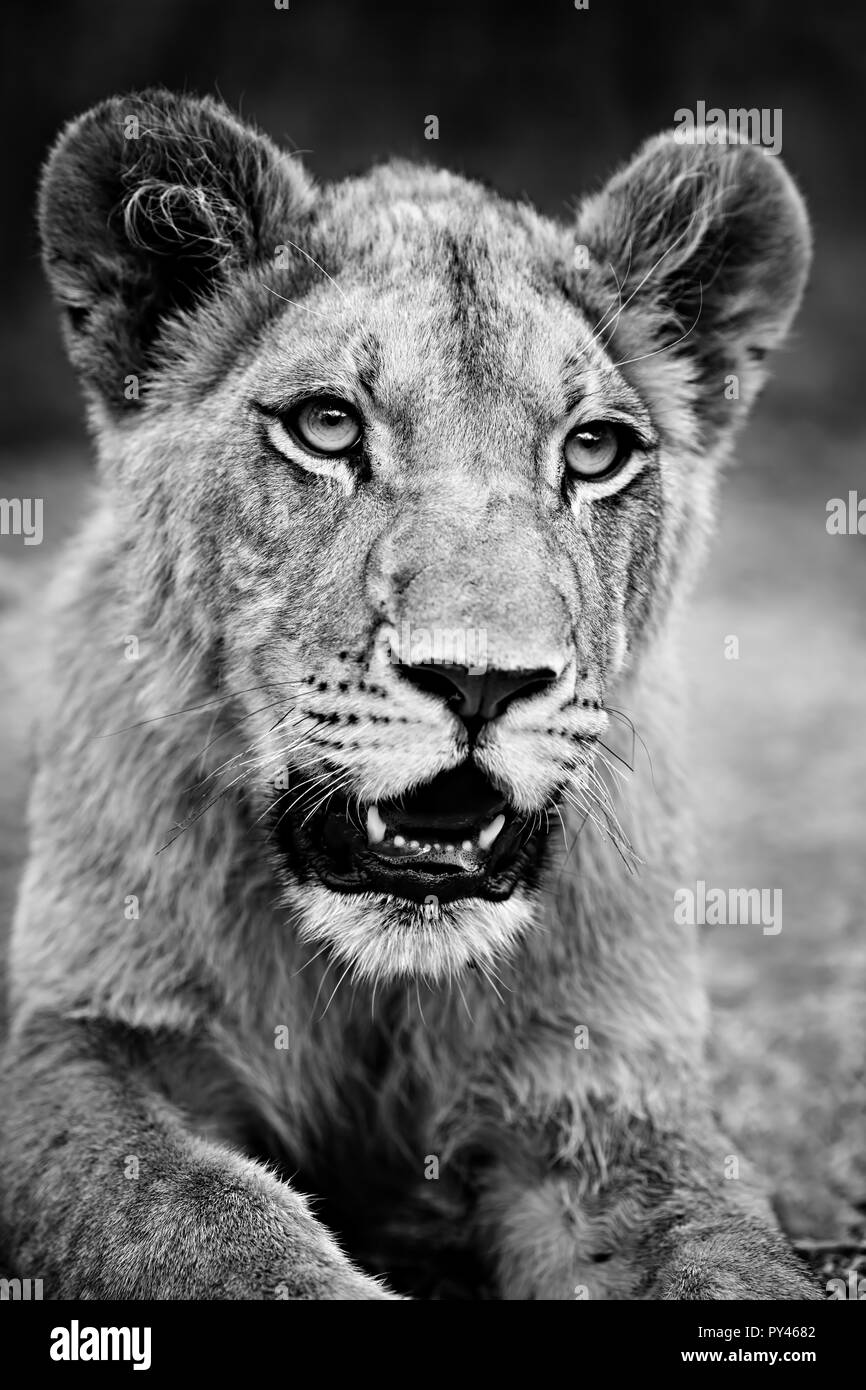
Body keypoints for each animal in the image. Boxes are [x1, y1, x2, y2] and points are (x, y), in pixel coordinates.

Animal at [0, 90, 817, 1299]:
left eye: (593, 449)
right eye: (327, 427)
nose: (481, 679)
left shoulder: (605, 1090)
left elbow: (727, 1255)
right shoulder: (71, 1039)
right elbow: (210, 1227)